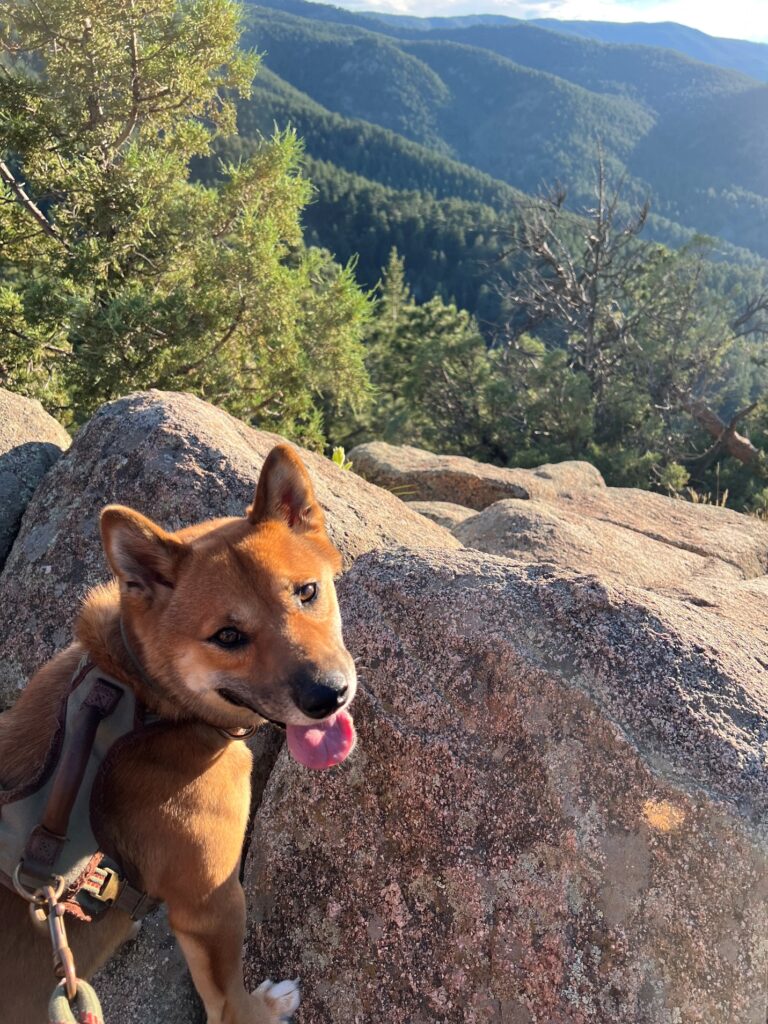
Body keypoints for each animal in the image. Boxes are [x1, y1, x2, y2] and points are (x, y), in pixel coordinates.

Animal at [0, 446, 360, 1024]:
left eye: (307, 592)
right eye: (228, 636)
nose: (329, 695)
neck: (143, 698)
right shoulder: (211, 905)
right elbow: (231, 1001)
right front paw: (263, 1007)